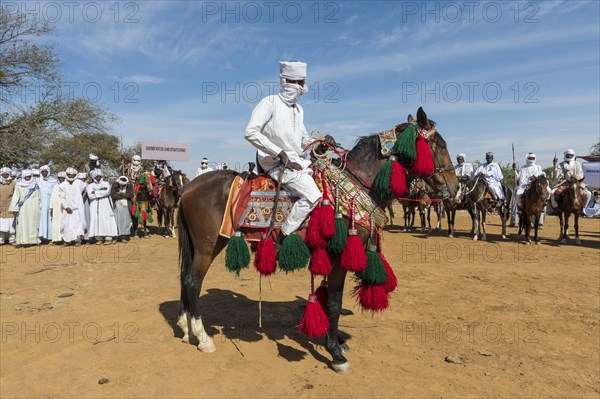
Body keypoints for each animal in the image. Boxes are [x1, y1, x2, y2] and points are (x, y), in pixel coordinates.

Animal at [176, 107, 458, 376]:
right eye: (438, 145)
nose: (454, 189)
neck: (354, 186)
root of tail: (188, 188)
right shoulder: (340, 257)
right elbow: (334, 302)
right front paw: (336, 353)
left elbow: (328, 299)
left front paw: (336, 340)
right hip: (208, 246)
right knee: (192, 282)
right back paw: (203, 337)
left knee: (185, 279)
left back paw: (185, 328)